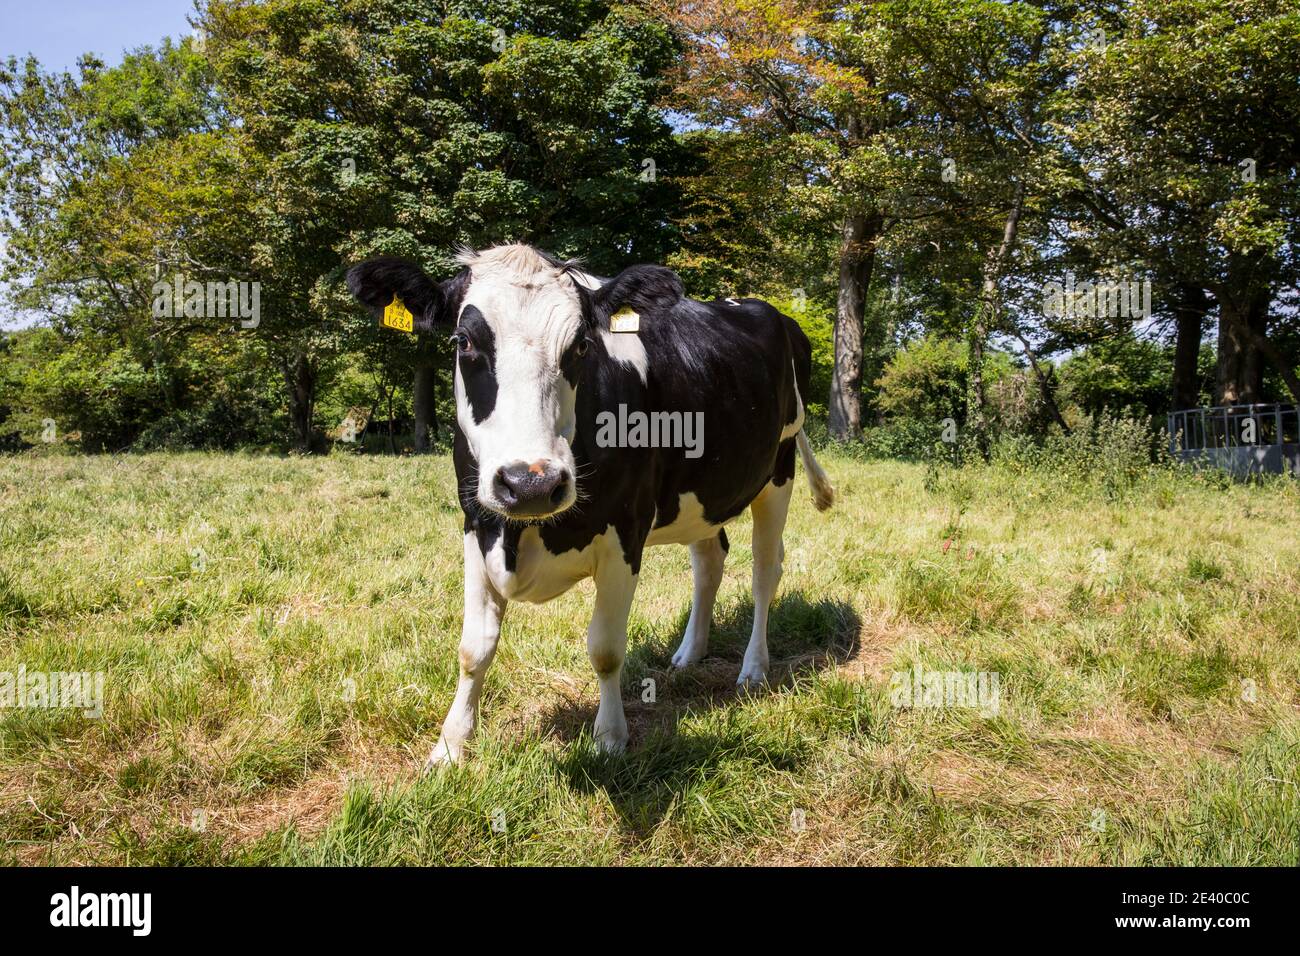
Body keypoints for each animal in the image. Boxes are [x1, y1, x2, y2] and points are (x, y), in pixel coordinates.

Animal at [346, 244, 834, 767]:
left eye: (581, 346)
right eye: (463, 341)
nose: (531, 484)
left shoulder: (626, 530)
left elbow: (605, 648)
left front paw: (610, 739)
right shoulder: (477, 522)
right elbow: (473, 649)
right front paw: (450, 746)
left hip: (779, 467)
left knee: (765, 568)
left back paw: (753, 668)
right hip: (699, 494)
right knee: (710, 560)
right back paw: (689, 653)